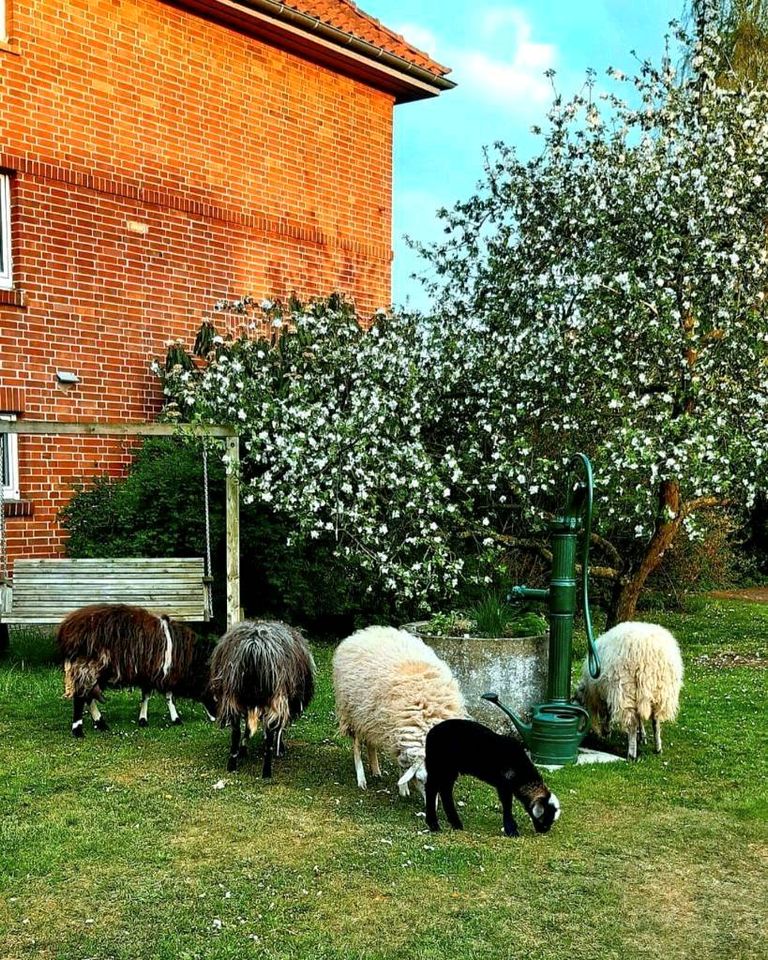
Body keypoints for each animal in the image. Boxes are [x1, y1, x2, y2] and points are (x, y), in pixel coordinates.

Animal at [57, 604, 216, 740]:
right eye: (211, 689)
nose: (215, 718)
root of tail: (66, 630)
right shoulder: (164, 672)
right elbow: (168, 696)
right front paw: (176, 719)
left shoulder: (150, 673)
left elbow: (146, 696)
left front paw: (143, 719)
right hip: (88, 665)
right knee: (80, 695)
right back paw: (78, 730)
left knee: (88, 695)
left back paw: (100, 723)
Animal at [208, 620, 314, 776]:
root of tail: (254, 645)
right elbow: (277, 729)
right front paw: (280, 748)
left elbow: (247, 728)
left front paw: (243, 749)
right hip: (275, 698)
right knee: (269, 734)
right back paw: (266, 771)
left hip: (232, 697)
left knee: (236, 732)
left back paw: (232, 763)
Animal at [332, 624, 464, 796]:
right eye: (421, 779)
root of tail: (364, 632)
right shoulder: (398, 732)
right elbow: (402, 762)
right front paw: (403, 789)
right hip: (352, 711)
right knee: (356, 745)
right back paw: (361, 779)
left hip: (370, 715)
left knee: (371, 742)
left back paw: (376, 770)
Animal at [424, 716, 560, 836]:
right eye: (545, 818)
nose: (544, 831)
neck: (522, 774)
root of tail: (430, 734)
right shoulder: (504, 785)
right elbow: (507, 804)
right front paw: (511, 830)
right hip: (438, 766)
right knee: (431, 789)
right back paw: (434, 824)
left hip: (449, 770)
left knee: (445, 790)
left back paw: (455, 823)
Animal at [576, 624, 684, 764]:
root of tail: (649, 653)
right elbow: (641, 718)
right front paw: (642, 736)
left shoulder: (608, 693)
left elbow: (609, 713)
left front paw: (607, 731)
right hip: (660, 692)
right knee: (655, 720)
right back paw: (658, 748)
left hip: (627, 689)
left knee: (632, 722)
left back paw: (631, 754)